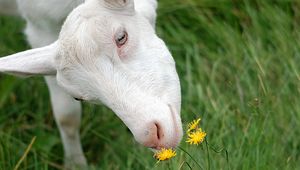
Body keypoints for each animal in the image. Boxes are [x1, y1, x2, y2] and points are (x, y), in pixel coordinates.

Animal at [0, 0, 183, 167]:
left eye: (121, 37)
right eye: (77, 98)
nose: (151, 135)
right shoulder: (39, 26)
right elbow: (67, 117)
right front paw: (75, 163)